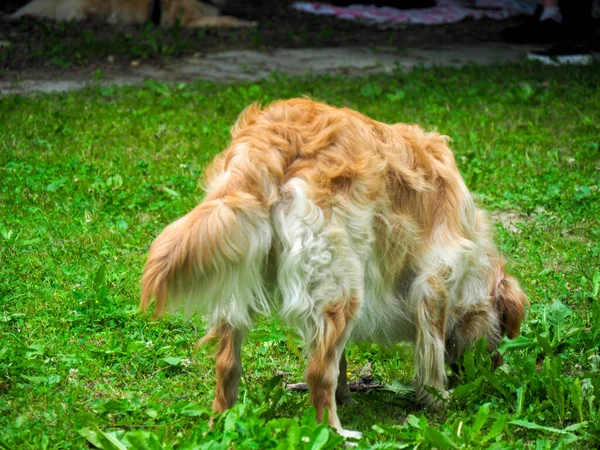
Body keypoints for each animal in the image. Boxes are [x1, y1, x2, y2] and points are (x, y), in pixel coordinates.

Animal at [139, 97, 524, 436]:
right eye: (504, 333)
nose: (496, 373)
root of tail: (276, 130)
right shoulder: (435, 281)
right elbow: (430, 350)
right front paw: (438, 398)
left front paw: (348, 394)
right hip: (343, 283)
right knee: (316, 372)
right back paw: (335, 432)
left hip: (245, 276)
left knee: (228, 364)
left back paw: (222, 423)